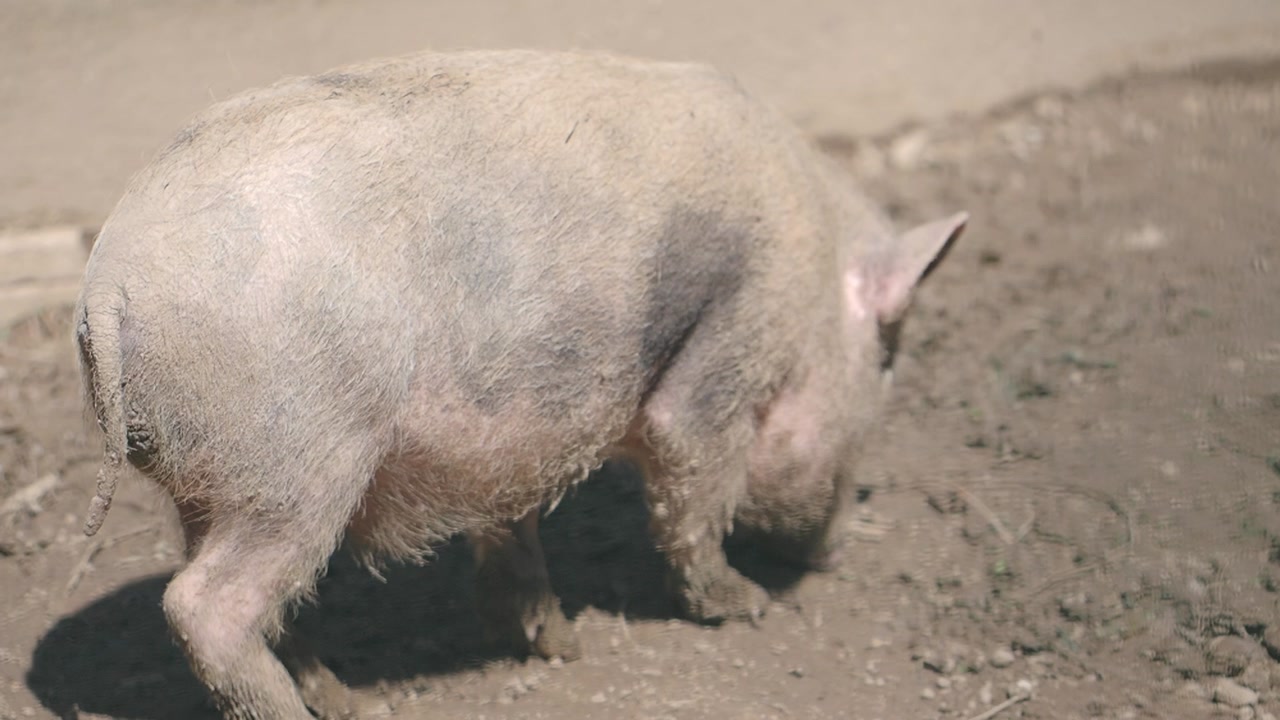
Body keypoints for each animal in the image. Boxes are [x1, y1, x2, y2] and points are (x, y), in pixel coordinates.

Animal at [75, 49, 966, 719]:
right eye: (886, 357)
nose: (837, 551)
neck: (814, 271)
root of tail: (107, 289)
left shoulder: (513, 428)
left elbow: (512, 523)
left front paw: (561, 645)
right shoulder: (728, 346)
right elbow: (694, 484)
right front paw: (746, 606)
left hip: (215, 480)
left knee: (256, 600)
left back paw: (348, 701)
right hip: (294, 465)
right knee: (202, 605)